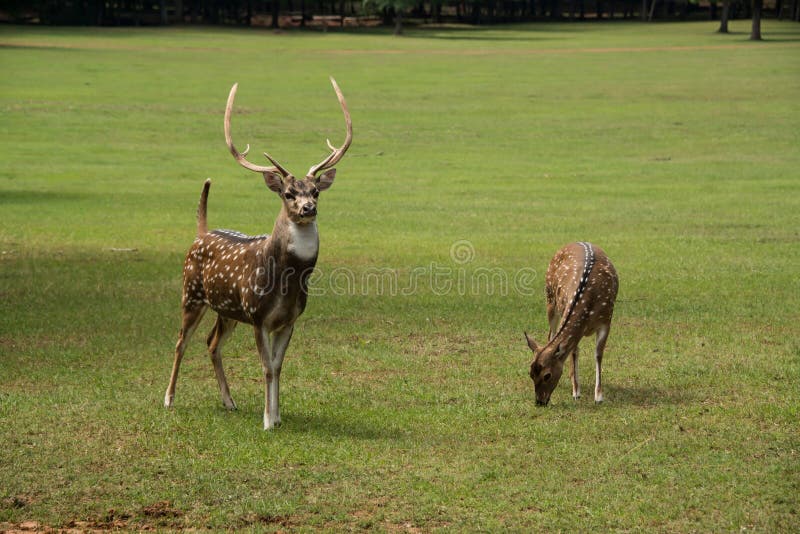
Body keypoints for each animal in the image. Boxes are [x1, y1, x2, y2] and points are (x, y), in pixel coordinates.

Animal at [164, 78, 352, 432]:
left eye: (316, 191)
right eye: (289, 193)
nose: (308, 208)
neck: (287, 282)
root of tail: (200, 233)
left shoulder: (289, 319)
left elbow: (277, 367)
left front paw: (277, 417)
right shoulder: (257, 315)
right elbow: (265, 367)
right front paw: (266, 421)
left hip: (226, 310)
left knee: (211, 343)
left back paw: (230, 401)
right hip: (190, 293)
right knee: (181, 340)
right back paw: (168, 399)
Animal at [524, 242, 620, 406]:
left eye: (547, 375)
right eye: (530, 373)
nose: (540, 402)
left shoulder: (606, 321)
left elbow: (598, 355)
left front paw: (598, 396)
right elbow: (574, 352)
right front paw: (576, 392)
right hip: (550, 299)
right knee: (551, 335)